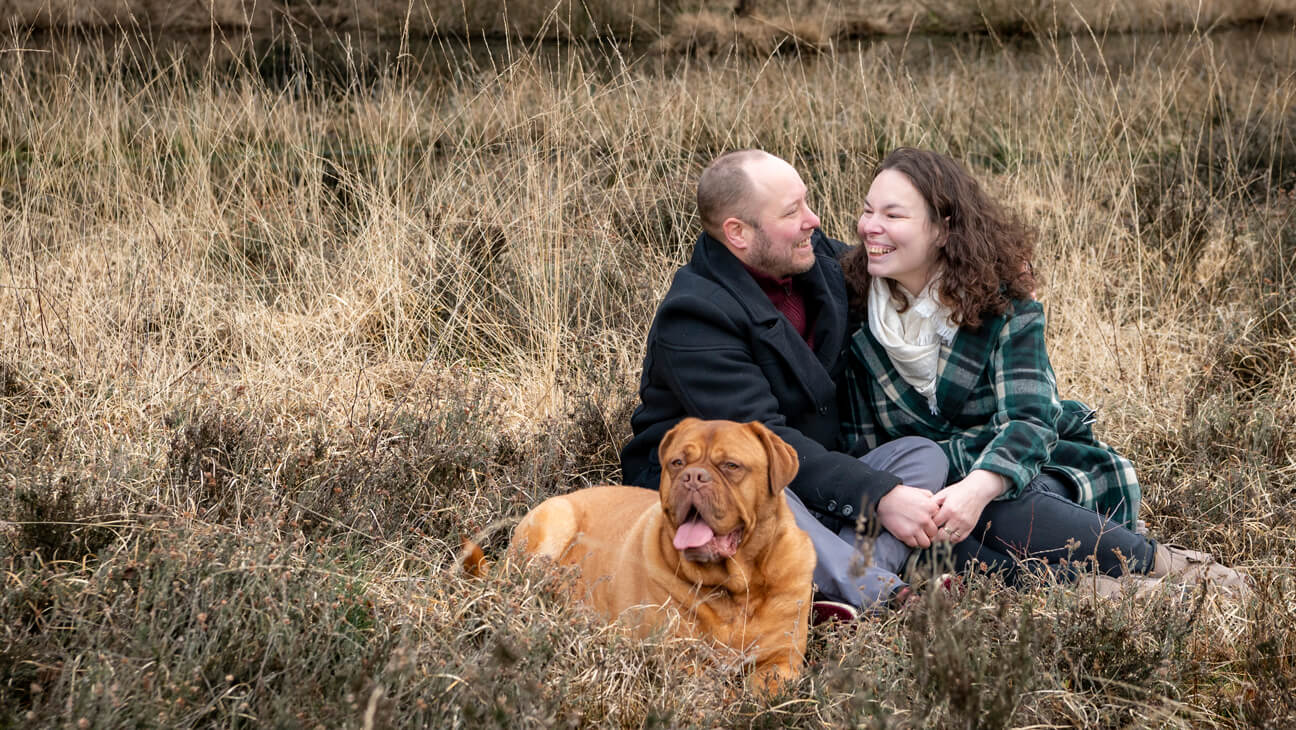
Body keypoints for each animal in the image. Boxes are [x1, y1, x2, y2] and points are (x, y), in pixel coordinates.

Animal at [502, 420, 808, 694]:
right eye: (677, 462)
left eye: (731, 465)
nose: (693, 477)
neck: (734, 591)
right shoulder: (681, 660)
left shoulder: (782, 660)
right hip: (557, 520)